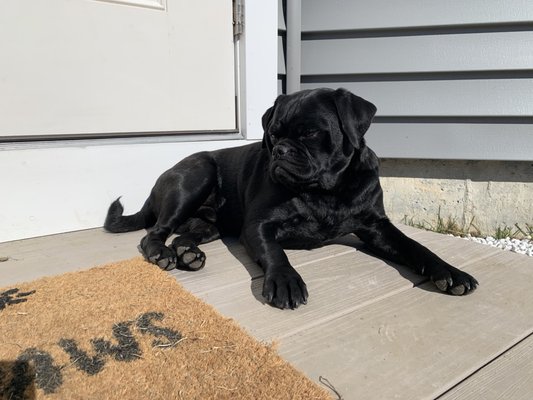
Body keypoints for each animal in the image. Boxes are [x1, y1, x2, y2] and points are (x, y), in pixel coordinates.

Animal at [104, 88, 478, 310]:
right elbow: (275, 252)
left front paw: (450, 272)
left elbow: (416, 247)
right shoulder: (259, 226)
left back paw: (188, 253)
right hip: (194, 177)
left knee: (186, 234)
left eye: (310, 132)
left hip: (210, 224)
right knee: (155, 231)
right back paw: (162, 254)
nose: (280, 149)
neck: (325, 191)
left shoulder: (377, 227)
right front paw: (285, 281)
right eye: (273, 133)